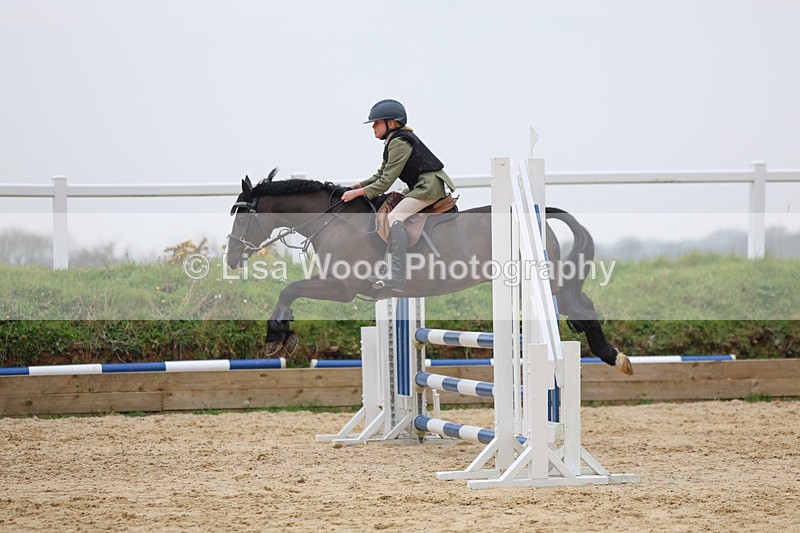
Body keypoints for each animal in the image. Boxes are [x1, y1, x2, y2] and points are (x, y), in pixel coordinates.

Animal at [226, 170, 632, 375]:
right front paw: (283, 336)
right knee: (579, 301)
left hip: (538, 278)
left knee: (581, 304)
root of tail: (537, 212)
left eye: (241, 216)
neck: (333, 221)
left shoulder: (341, 286)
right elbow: (290, 290)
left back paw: (613, 356)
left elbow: (290, 289)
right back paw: (613, 355)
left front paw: (276, 336)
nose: (230, 258)